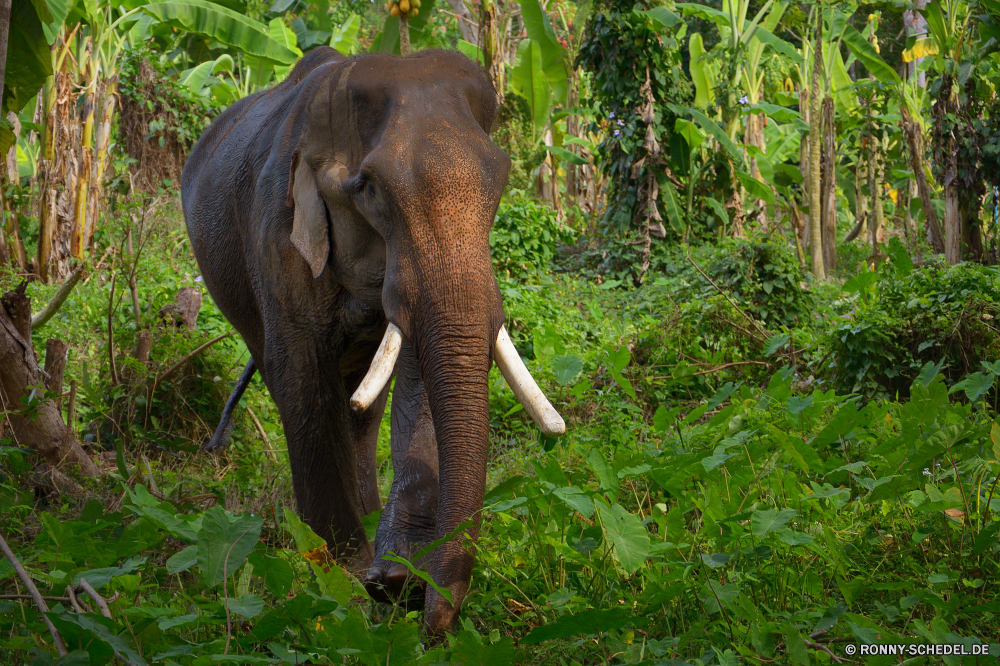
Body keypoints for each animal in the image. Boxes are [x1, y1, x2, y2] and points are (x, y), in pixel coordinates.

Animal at [181, 48, 568, 632]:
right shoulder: (277, 234)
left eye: (500, 182)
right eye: (368, 189)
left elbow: (417, 374)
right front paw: (345, 588)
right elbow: (301, 378)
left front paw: (396, 582)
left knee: (364, 406)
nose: (435, 628)